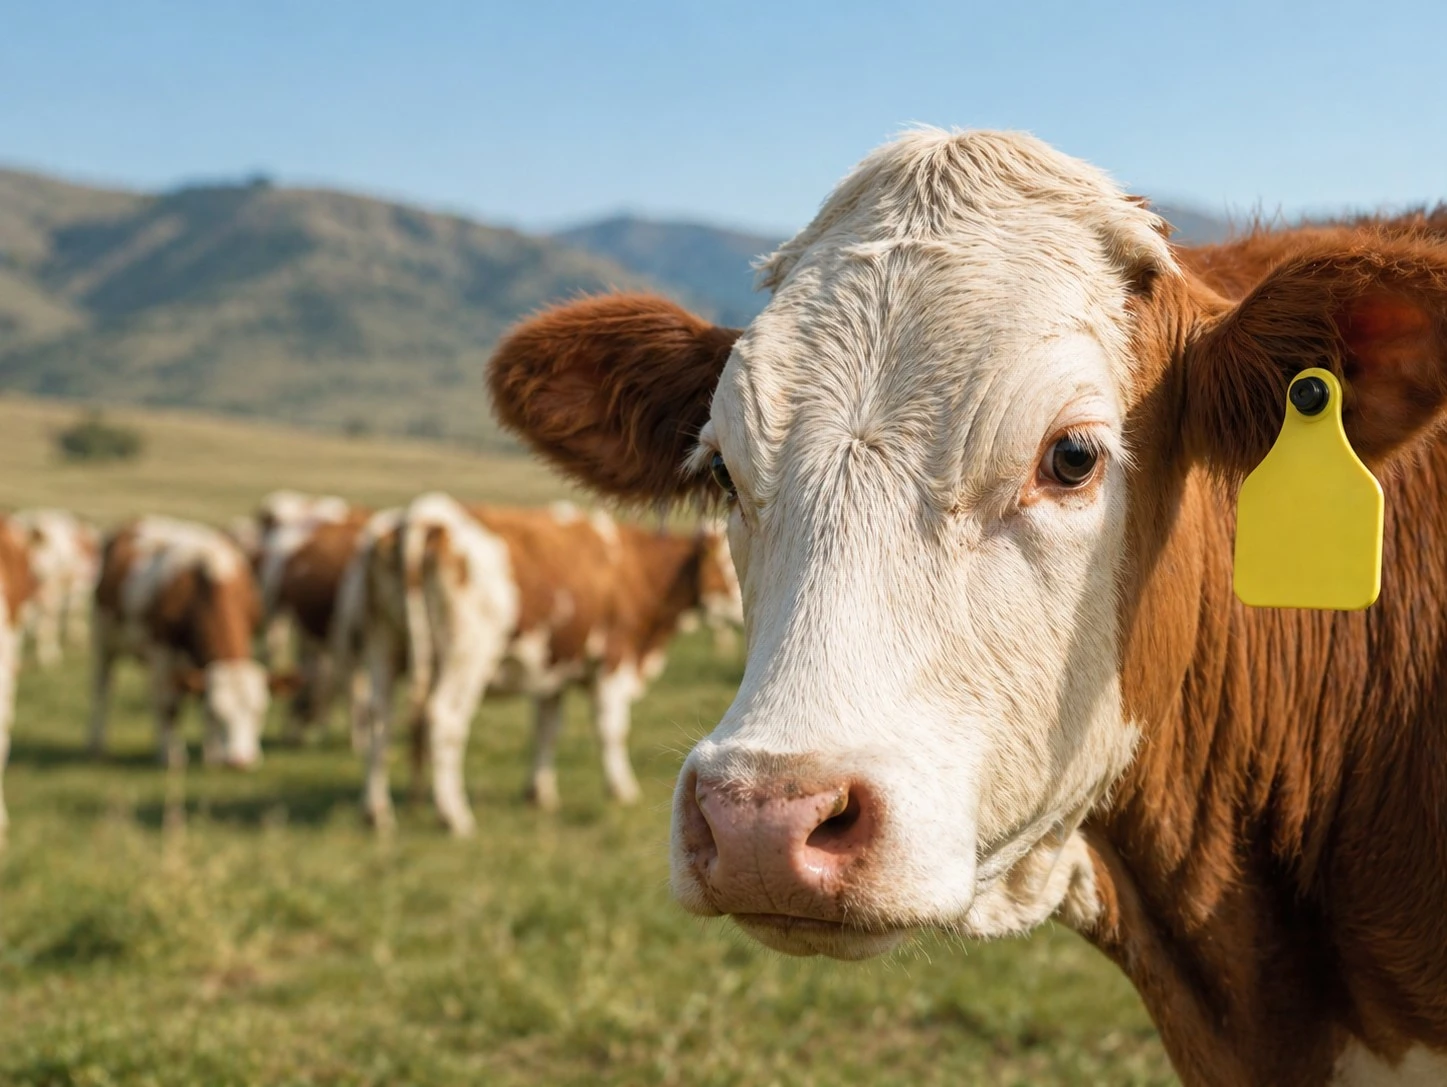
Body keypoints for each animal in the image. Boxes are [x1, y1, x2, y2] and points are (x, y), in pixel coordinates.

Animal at [91, 516, 273, 769]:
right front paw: (174, 758)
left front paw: (211, 756)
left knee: (153, 696)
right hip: (104, 639)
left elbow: (197, 700)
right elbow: (170, 706)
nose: (239, 761)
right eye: (220, 714)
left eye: (259, 712)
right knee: (104, 688)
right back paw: (98, 745)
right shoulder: (162, 654)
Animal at [347, 495, 741, 835]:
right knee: (442, 720)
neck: (636, 569)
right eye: (732, 566)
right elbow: (611, 730)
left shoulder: (554, 673)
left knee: (379, 718)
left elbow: (547, 729)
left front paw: (540, 794)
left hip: (383, 646)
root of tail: (426, 516)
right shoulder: (612, 663)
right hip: (466, 656)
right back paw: (454, 816)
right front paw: (622, 790)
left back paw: (376, 812)